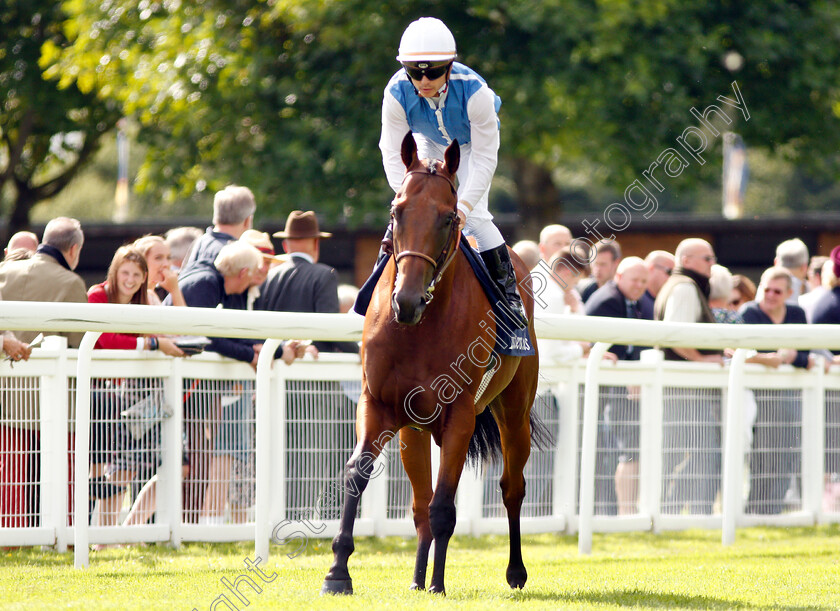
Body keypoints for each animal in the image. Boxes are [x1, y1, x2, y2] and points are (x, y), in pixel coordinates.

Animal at [322, 131, 544, 596]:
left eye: (447, 218)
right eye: (396, 212)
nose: (405, 301)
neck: (418, 328)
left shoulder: (459, 414)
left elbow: (445, 504)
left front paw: (440, 584)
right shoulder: (379, 404)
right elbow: (359, 473)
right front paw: (338, 572)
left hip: (514, 413)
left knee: (511, 488)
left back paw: (514, 571)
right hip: (415, 430)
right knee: (420, 503)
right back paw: (416, 577)